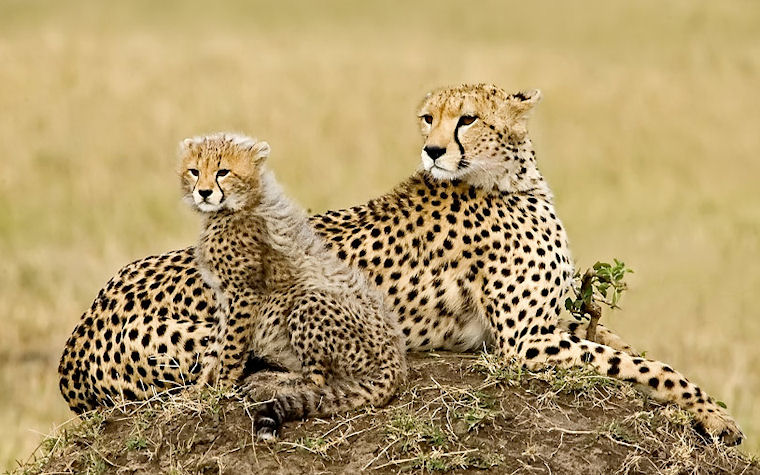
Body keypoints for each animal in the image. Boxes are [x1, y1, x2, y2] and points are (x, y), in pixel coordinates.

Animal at [58, 83, 744, 444]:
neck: (511, 178)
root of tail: (86, 318)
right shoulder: (523, 344)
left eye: (468, 118)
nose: (433, 149)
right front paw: (716, 416)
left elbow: (630, 345)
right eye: (427, 117)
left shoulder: (552, 323)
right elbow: (647, 366)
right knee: (234, 372)